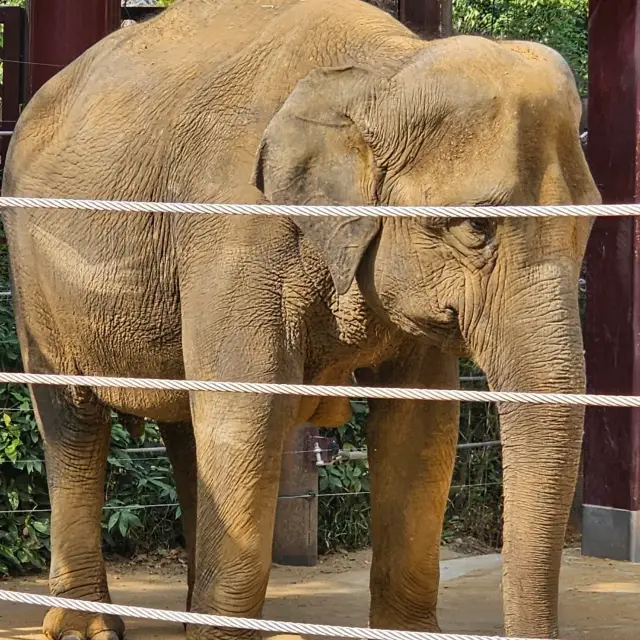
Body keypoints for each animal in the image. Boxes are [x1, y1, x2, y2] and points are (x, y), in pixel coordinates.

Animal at [0, 0, 600, 636]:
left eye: (589, 224)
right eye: (476, 228)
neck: (384, 71)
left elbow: (423, 426)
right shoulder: (234, 228)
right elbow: (248, 414)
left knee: (188, 427)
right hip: (35, 277)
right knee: (74, 423)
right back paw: (85, 626)